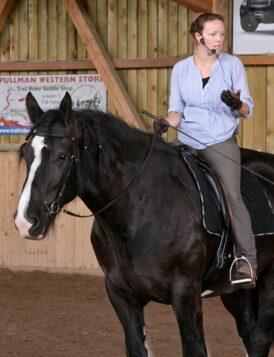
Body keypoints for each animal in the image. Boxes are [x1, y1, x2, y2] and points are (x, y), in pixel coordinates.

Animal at [14, 92, 274, 356]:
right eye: (26, 154)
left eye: (61, 156)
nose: (26, 221)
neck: (139, 210)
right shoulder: (121, 295)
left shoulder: (186, 294)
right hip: (234, 290)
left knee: (260, 337)